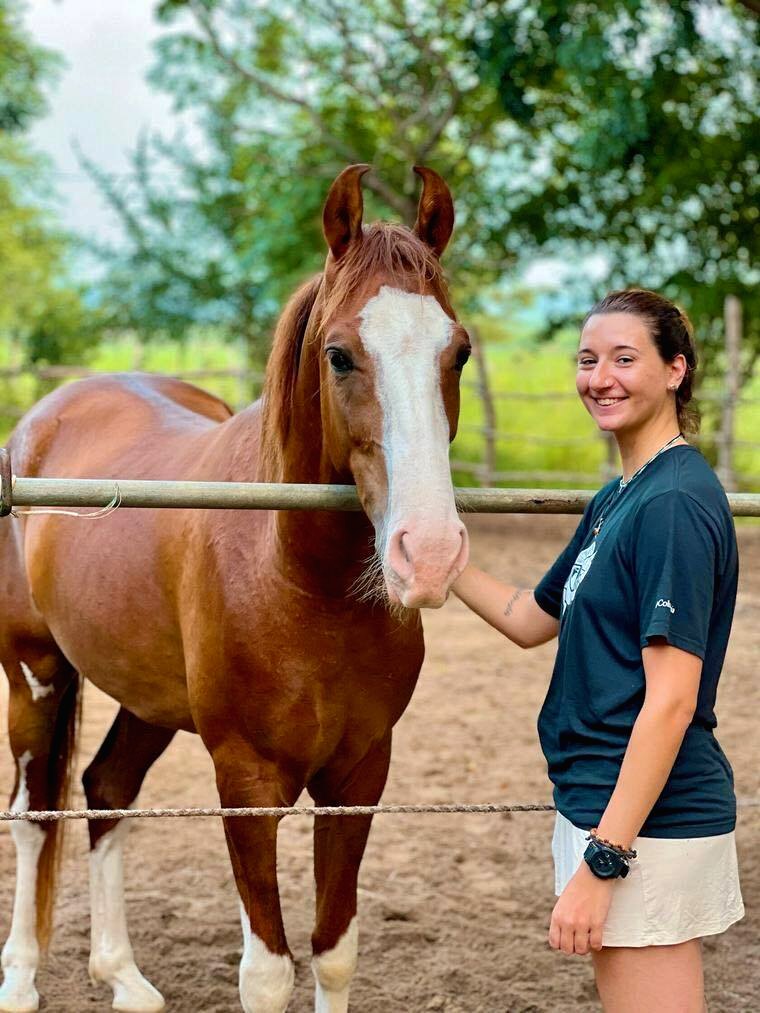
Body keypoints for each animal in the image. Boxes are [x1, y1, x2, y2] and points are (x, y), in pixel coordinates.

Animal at [0, 163, 471, 1013]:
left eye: (458, 352)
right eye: (340, 355)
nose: (430, 552)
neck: (307, 585)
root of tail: (39, 422)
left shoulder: (358, 776)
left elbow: (334, 952)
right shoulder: (247, 781)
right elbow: (268, 972)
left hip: (149, 698)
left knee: (106, 788)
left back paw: (123, 975)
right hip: (35, 673)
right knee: (33, 812)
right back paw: (19, 975)